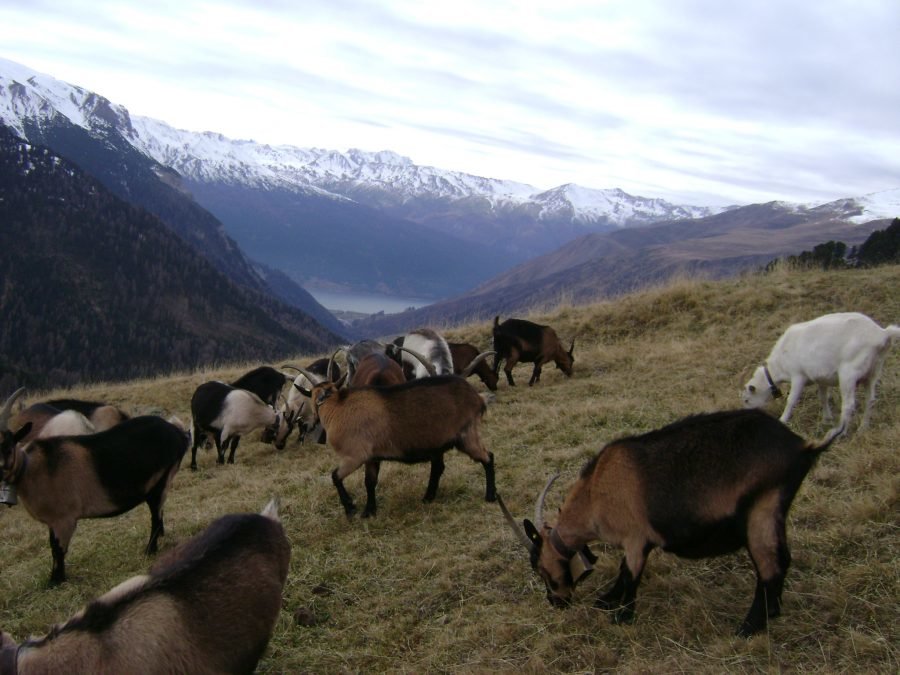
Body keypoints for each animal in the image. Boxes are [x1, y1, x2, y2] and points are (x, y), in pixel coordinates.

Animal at [1, 388, 188, 588]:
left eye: (7, 446)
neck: (31, 468)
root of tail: (177, 432)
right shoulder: (54, 521)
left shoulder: (64, 520)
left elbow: (57, 549)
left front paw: (56, 580)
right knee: (159, 512)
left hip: (161, 479)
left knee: (155, 515)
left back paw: (150, 550)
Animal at [294, 372, 492, 520]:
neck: (335, 406)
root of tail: (476, 397)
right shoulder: (372, 458)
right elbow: (369, 482)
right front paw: (369, 512)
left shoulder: (355, 456)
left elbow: (335, 476)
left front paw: (351, 509)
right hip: (442, 443)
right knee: (439, 467)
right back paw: (427, 498)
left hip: (466, 435)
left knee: (488, 457)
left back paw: (490, 496)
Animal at [500, 406, 844, 640]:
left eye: (540, 568)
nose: (555, 602)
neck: (595, 493)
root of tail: (801, 446)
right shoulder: (640, 542)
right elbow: (624, 573)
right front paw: (606, 601)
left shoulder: (635, 538)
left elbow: (630, 575)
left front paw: (621, 616)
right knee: (780, 561)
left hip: (762, 509)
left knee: (771, 566)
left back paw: (748, 627)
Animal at [740, 312, 896, 436]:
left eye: (747, 400)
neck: (778, 365)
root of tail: (882, 334)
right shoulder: (821, 378)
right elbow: (823, 397)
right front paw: (827, 418)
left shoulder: (798, 376)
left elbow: (791, 400)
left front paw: (783, 420)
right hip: (873, 372)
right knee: (870, 400)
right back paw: (863, 428)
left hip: (849, 373)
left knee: (849, 404)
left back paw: (840, 433)